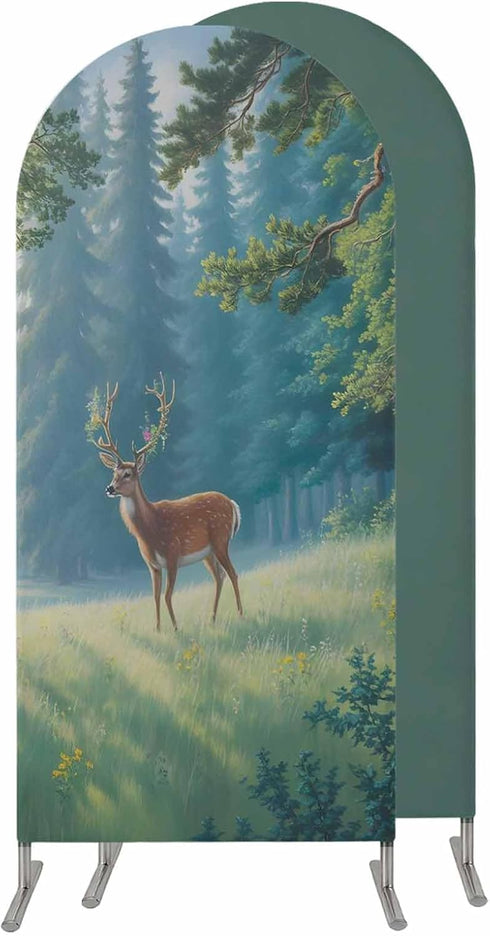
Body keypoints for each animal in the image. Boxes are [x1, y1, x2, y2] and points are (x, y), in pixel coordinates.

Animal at [91, 375, 243, 632]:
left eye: (128, 474)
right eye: (114, 472)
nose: (109, 488)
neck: (150, 531)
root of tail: (232, 504)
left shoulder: (172, 554)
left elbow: (167, 595)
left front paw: (175, 628)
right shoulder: (152, 565)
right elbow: (154, 596)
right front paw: (158, 628)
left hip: (221, 540)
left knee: (233, 573)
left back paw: (241, 614)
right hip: (208, 552)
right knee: (219, 577)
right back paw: (212, 619)